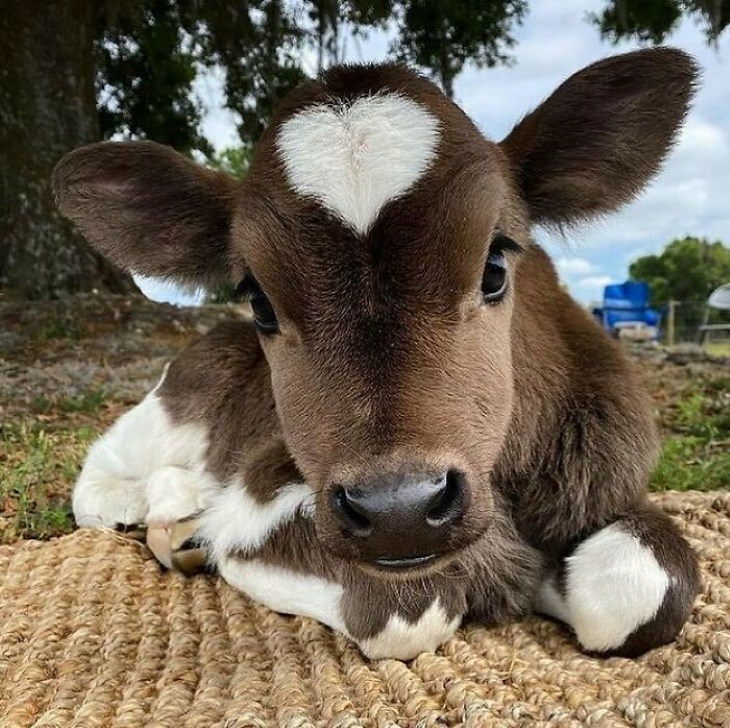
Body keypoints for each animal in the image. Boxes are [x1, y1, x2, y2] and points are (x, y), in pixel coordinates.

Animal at [52, 45, 700, 660]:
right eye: (259, 300)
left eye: (495, 265)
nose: (398, 510)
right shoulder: (260, 500)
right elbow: (410, 609)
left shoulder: (605, 481)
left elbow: (640, 590)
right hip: (179, 398)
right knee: (104, 474)